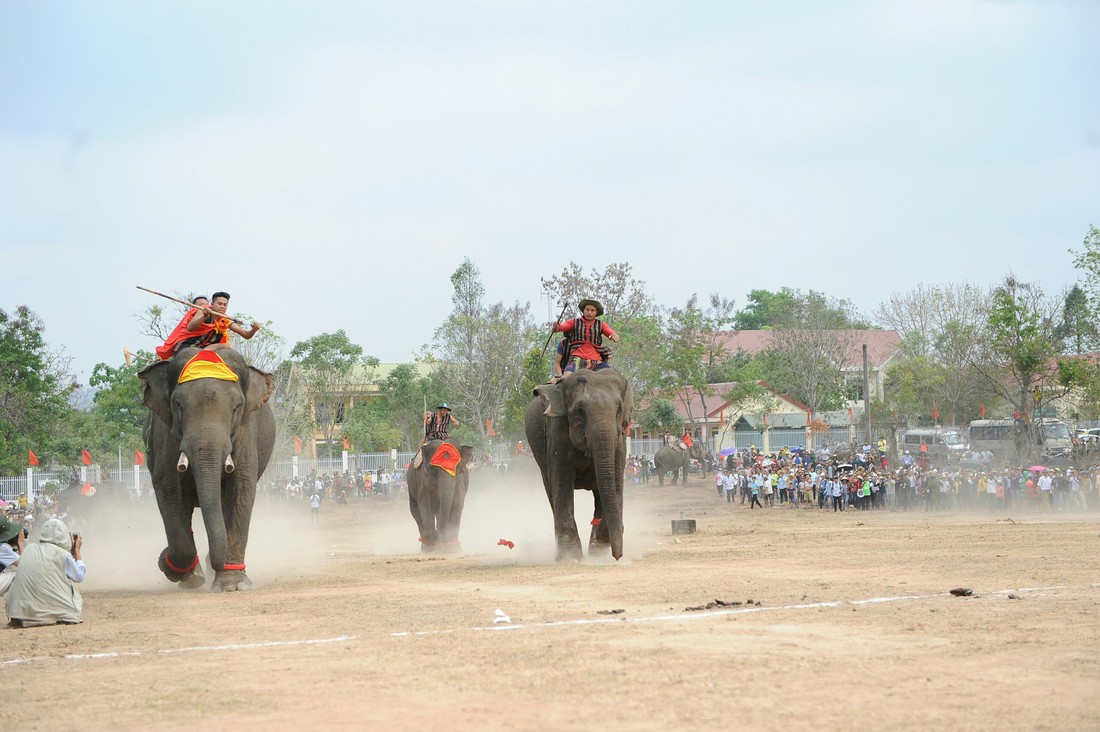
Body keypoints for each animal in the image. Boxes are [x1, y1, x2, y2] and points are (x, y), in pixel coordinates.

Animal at [138, 345, 275, 590]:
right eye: (178, 405)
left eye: (237, 407)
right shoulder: (164, 436)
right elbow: (169, 489)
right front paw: (168, 565)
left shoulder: (246, 432)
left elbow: (241, 489)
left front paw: (232, 585)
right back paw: (193, 576)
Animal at [521, 367, 633, 561]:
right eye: (580, 410)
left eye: (619, 409)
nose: (618, 556)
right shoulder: (557, 431)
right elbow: (562, 481)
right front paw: (570, 557)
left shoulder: (621, 439)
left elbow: (615, 482)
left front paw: (599, 549)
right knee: (551, 491)